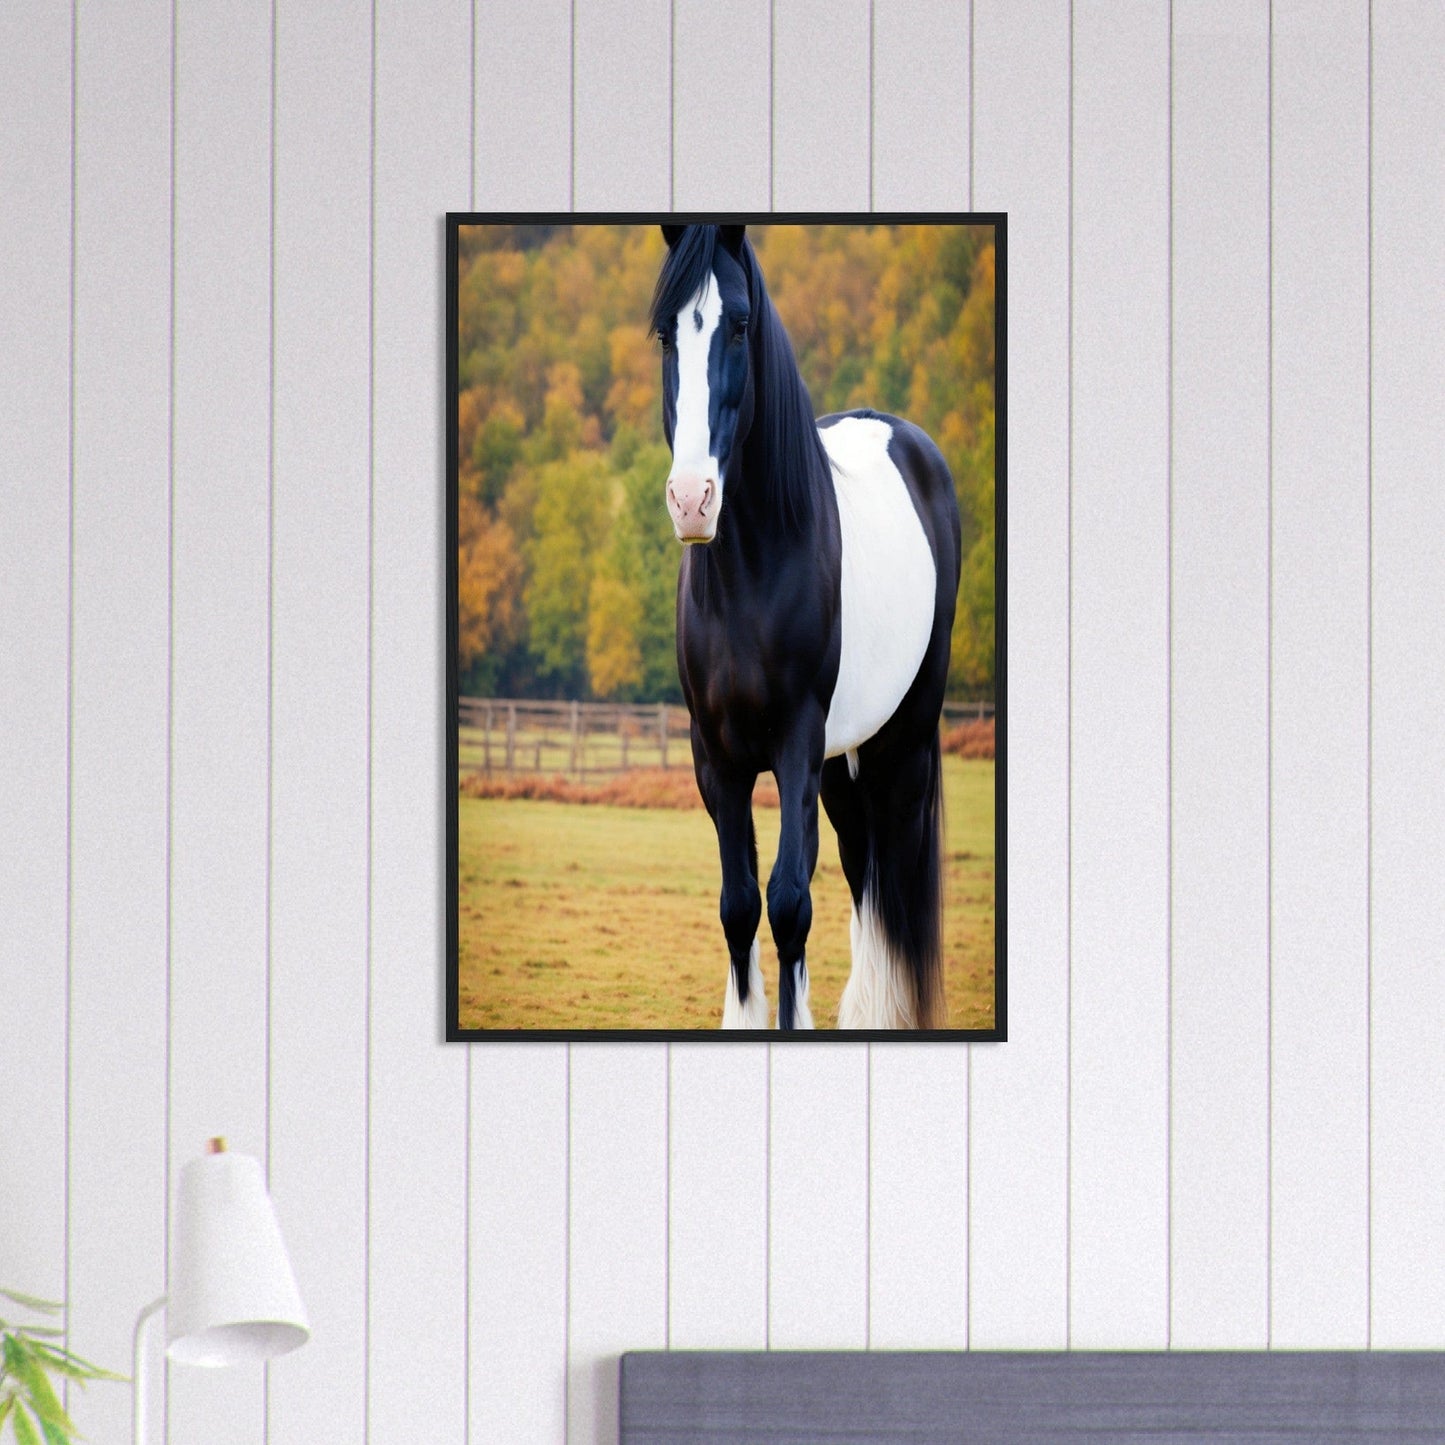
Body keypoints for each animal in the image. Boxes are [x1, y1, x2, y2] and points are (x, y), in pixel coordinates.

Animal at [652, 223, 963, 1030]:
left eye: (738, 325)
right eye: (664, 332)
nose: (691, 500)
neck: (752, 574)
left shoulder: (795, 741)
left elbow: (789, 901)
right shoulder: (716, 758)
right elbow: (738, 905)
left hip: (901, 737)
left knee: (890, 862)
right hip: (843, 754)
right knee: (863, 864)